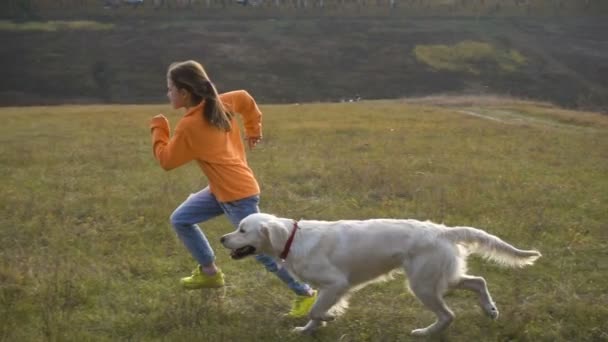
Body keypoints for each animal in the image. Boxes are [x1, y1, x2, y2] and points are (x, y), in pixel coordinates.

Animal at [220, 212, 540, 336]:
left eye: (242, 230)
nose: (223, 238)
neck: (293, 239)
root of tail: (443, 231)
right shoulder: (329, 288)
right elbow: (313, 314)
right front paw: (307, 331)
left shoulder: (335, 284)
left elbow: (316, 310)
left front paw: (327, 319)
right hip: (440, 278)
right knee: (478, 281)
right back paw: (490, 310)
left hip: (422, 285)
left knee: (449, 315)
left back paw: (425, 333)